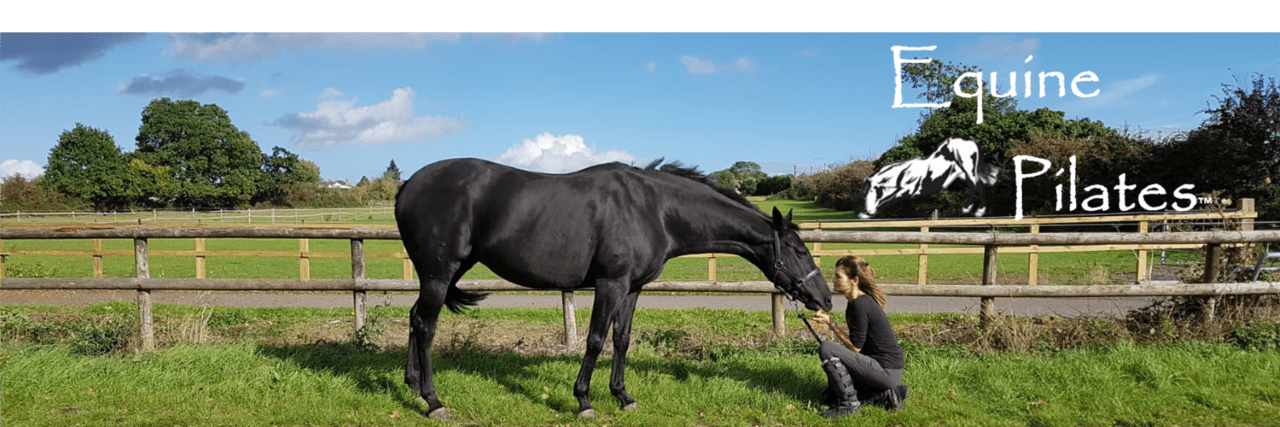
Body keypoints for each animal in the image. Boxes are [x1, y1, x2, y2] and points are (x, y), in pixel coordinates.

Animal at [394, 158, 833, 419]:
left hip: (442, 274)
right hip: (440, 274)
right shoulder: (610, 284)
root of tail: (409, 184)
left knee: (415, 318)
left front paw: (623, 396)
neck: (654, 209)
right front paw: (584, 400)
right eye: (797, 249)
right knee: (427, 327)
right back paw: (433, 401)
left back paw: (412, 385)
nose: (825, 298)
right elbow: (594, 339)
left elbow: (621, 339)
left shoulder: (632, 287)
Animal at [859, 138, 998, 219]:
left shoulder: (907, 190)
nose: (869, 211)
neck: (902, 175)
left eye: (875, 192)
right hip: (963, 174)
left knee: (978, 186)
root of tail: (972, 142)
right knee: (973, 186)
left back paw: (979, 211)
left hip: (968, 170)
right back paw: (966, 209)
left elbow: (887, 199)